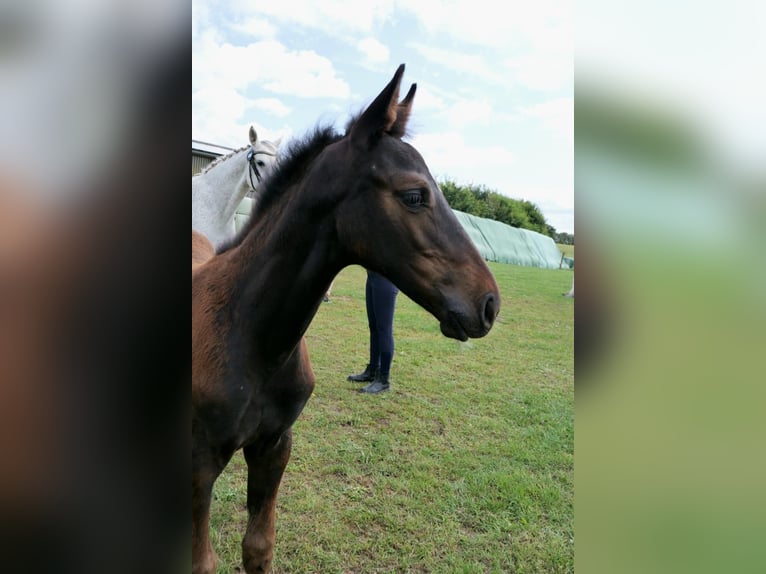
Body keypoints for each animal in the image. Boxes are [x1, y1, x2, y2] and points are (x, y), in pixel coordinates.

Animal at [192, 65, 504, 572]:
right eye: (414, 194)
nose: (489, 304)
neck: (248, 335)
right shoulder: (199, 461)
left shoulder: (274, 445)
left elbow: (258, 548)